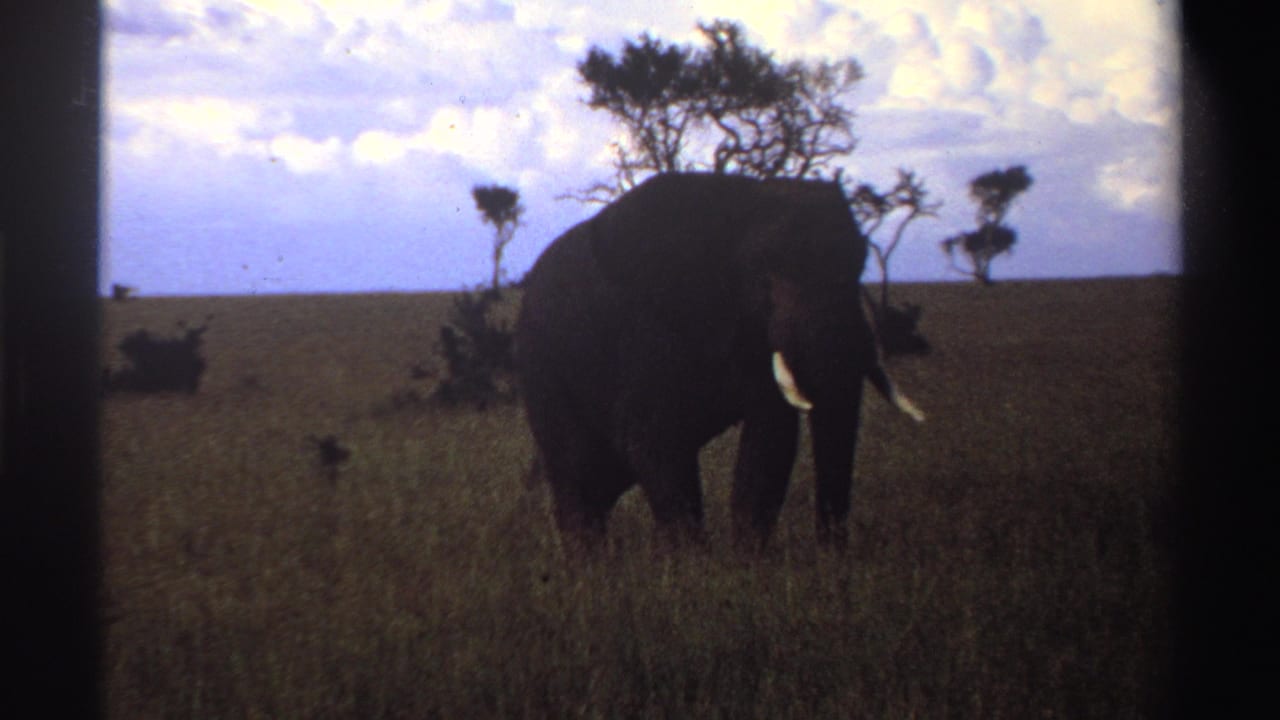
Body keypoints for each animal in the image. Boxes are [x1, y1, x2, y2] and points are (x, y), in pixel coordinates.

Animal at [515, 172, 923, 553]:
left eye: (860, 264)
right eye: (767, 273)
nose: (834, 551)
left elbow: (772, 437)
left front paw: (751, 562)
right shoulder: (647, 331)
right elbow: (654, 443)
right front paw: (696, 568)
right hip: (542, 366)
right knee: (576, 474)